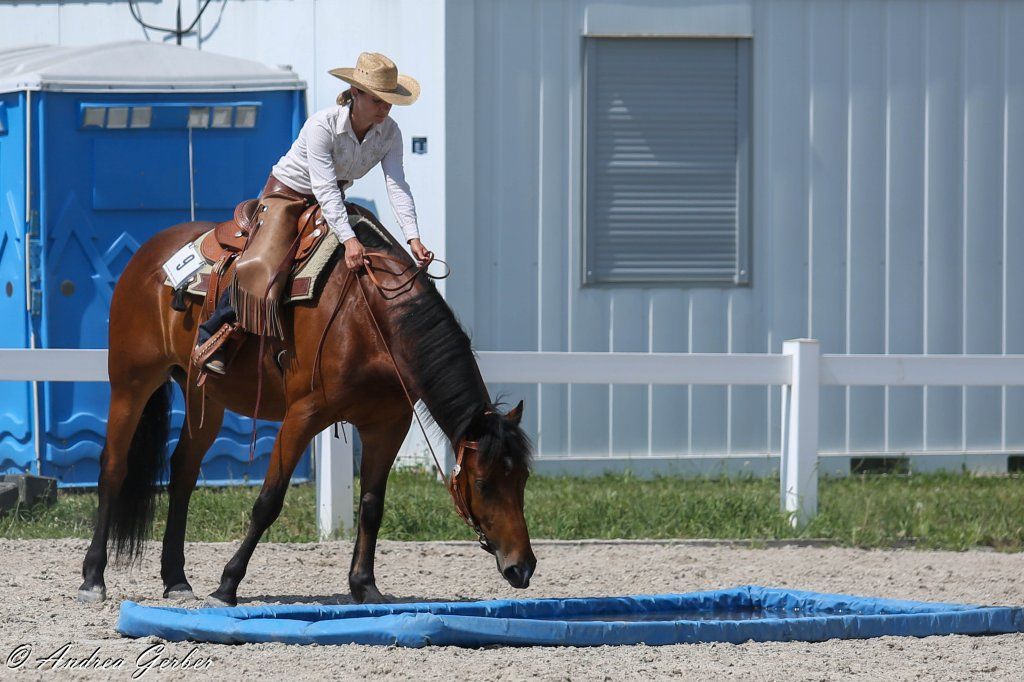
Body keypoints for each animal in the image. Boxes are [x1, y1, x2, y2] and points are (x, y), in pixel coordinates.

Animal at [76, 211, 536, 606]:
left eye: (523, 480)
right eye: (483, 484)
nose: (523, 567)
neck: (369, 320)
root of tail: (149, 252)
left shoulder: (388, 425)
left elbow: (372, 505)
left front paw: (365, 587)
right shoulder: (302, 417)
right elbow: (268, 501)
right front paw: (227, 585)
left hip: (202, 396)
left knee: (183, 473)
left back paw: (176, 580)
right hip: (132, 382)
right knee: (113, 467)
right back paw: (93, 578)